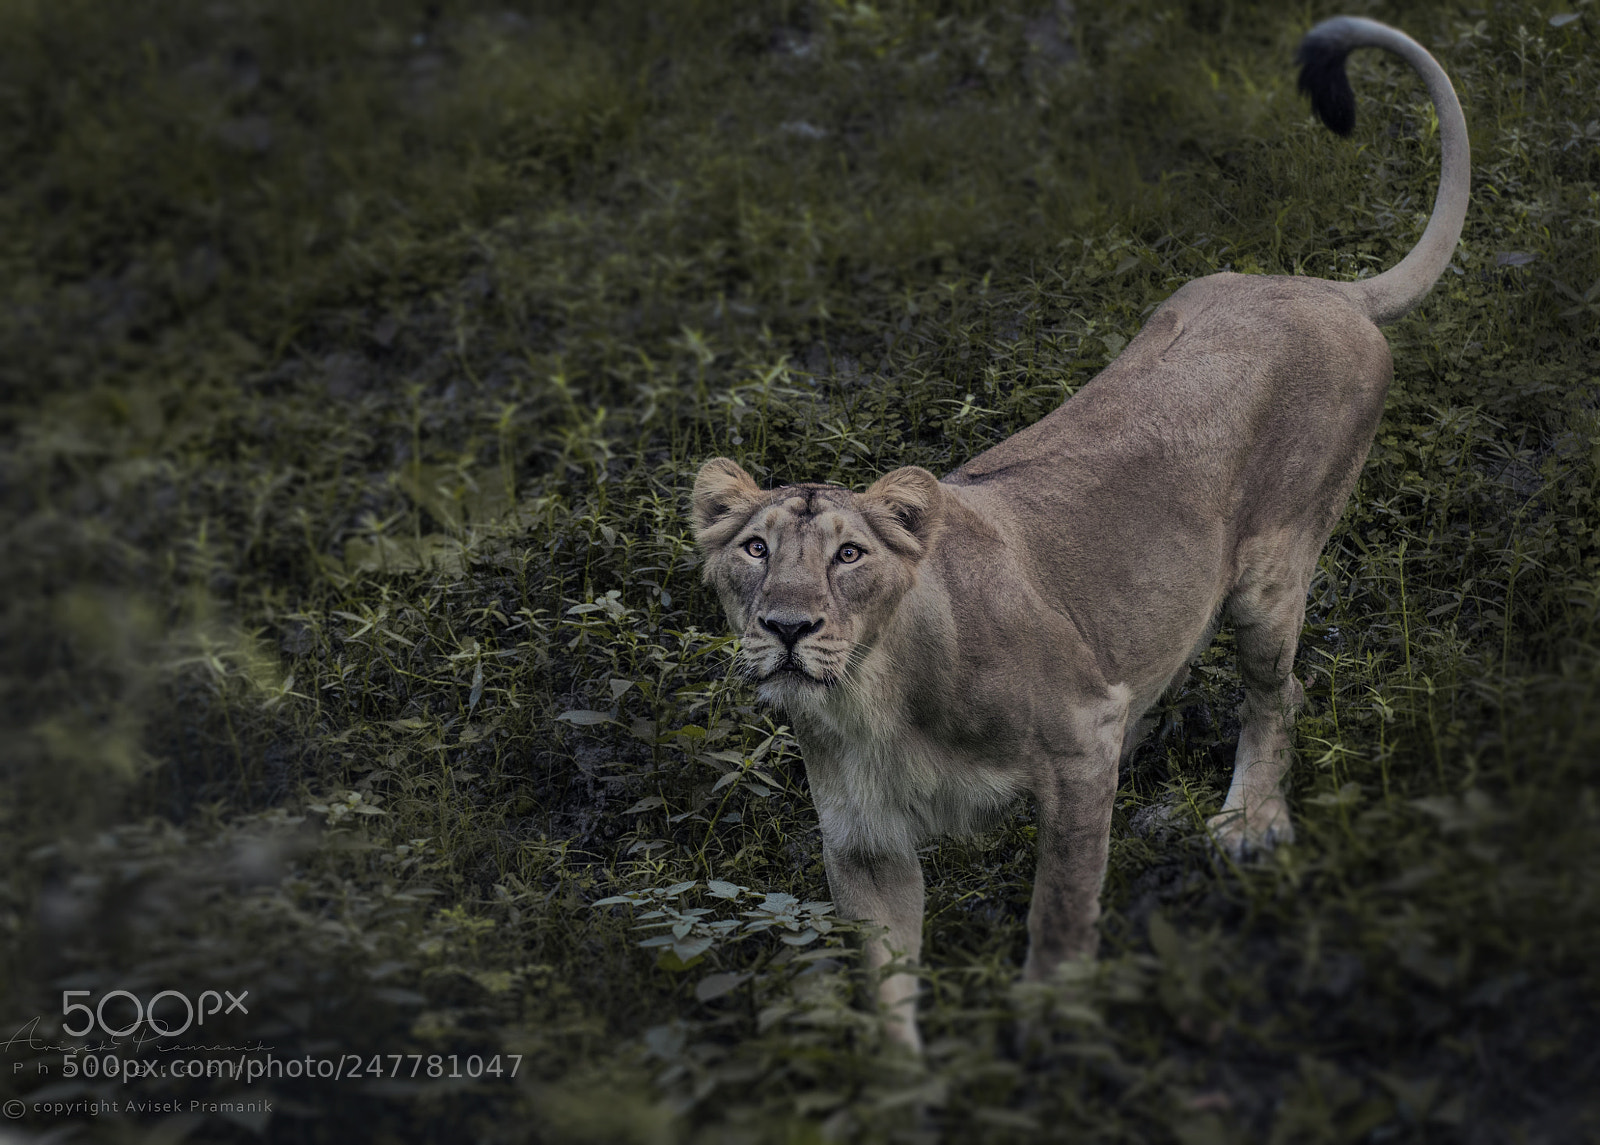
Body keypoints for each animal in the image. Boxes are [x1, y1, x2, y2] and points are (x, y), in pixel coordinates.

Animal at [691, 16, 1468, 1052]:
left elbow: (1060, 908)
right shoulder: (866, 844)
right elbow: (889, 992)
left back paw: (1251, 821)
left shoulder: (1076, 744)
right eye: (755, 551)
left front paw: (1050, 1025)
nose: (786, 627)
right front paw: (910, 1078)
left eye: (849, 556)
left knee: (1280, 691)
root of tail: (1322, 291)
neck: (869, 699)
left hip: (1272, 571)